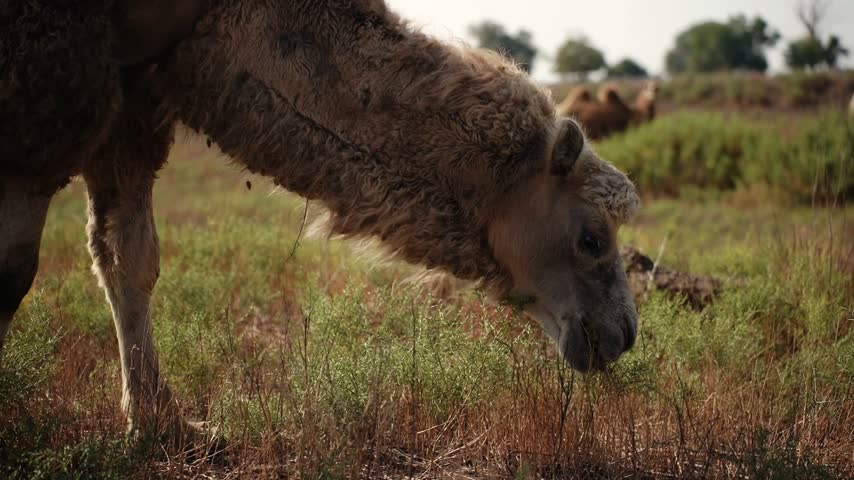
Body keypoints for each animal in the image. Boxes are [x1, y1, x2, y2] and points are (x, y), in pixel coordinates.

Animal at [1, 0, 640, 439]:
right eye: (591, 238)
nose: (624, 331)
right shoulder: (45, 83)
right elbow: (15, 271)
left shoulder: (135, 92)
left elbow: (128, 259)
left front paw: (161, 426)